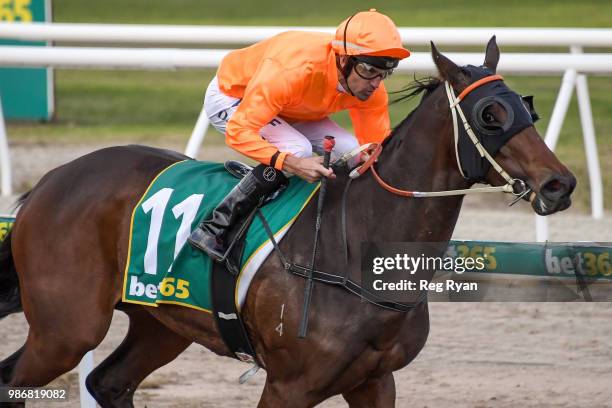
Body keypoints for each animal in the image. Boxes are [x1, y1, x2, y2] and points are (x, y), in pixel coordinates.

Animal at [0, 36, 572, 406]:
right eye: (490, 116)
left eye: (528, 108)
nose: (559, 184)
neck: (356, 245)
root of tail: (51, 180)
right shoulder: (289, 385)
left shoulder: (374, 381)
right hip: (67, 328)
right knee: (17, 380)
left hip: (160, 322)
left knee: (109, 383)